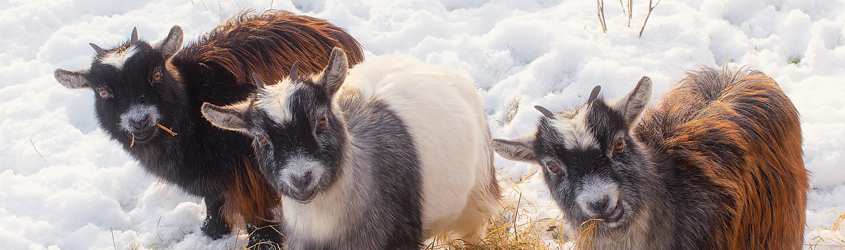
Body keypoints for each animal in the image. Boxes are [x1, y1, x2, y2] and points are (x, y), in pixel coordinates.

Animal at [54, 10, 364, 246]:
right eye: (103, 92)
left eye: (157, 74)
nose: (139, 121)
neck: (192, 109)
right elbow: (213, 200)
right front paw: (213, 231)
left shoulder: (253, 175)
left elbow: (258, 216)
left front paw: (263, 243)